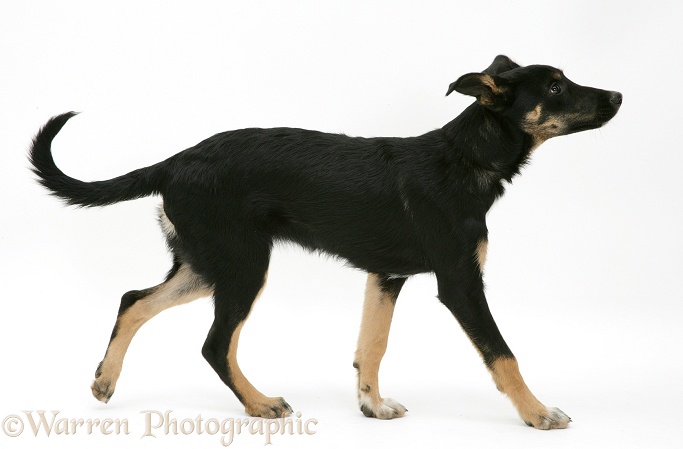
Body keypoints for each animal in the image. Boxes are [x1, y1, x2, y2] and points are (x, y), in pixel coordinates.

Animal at [29, 55, 624, 428]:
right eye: (555, 87)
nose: (619, 94)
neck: (465, 157)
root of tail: (174, 162)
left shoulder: (386, 276)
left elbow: (371, 346)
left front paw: (372, 407)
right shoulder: (459, 283)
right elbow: (503, 354)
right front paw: (538, 413)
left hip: (205, 265)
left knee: (133, 300)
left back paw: (105, 382)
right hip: (243, 265)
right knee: (214, 343)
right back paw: (260, 404)